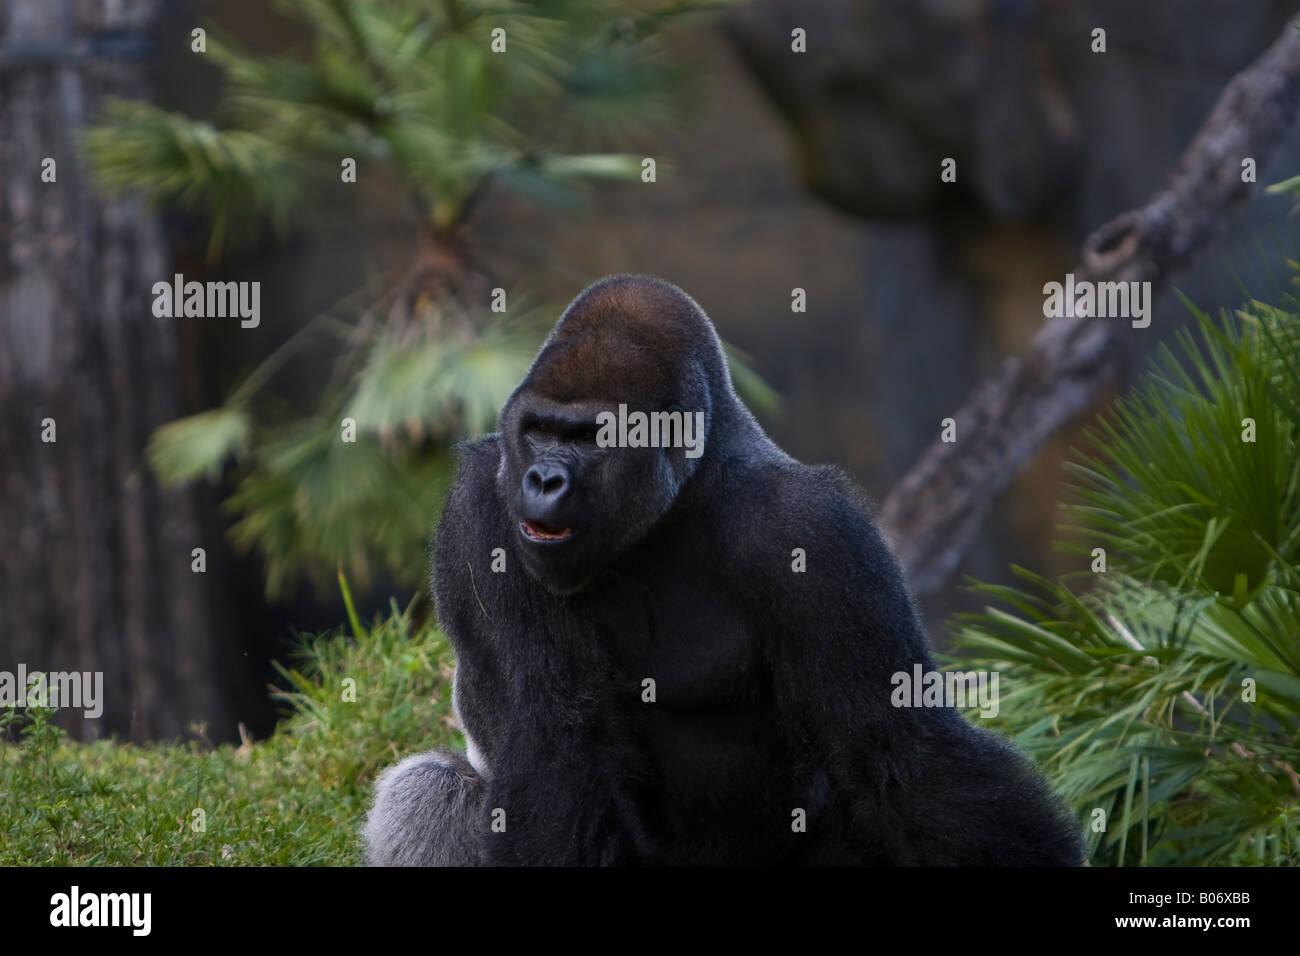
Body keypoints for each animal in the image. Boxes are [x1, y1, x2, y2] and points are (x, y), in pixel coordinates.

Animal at [361, 277, 1081, 868]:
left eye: (590, 437)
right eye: (538, 430)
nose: (542, 480)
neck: (680, 497)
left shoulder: (814, 529)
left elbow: (897, 745)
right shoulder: (482, 506)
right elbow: (552, 731)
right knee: (430, 788)